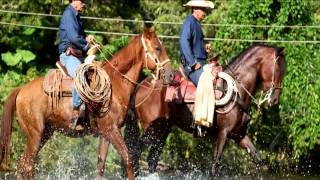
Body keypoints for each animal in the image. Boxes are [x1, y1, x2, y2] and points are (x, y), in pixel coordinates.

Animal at [0, 25, 172, 180]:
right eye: (157, 48)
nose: (170, 75)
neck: (115, 83)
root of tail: (21, 90)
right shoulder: (112, 130)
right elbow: (129, 159)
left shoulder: (106, 134)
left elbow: (100, 166)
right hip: (35, 134)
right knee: (28, 165)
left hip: (45, 133)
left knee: (22, 164)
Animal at [124, 44, 286, 176]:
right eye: (278, 68)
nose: (275, 99)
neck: (236, 90)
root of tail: (141, 85)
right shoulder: (223, 133)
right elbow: (215, 166)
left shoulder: (239, 134)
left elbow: (258, 159)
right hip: (152, 129)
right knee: (136, 151)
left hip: (163, 130)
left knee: (152, 159)